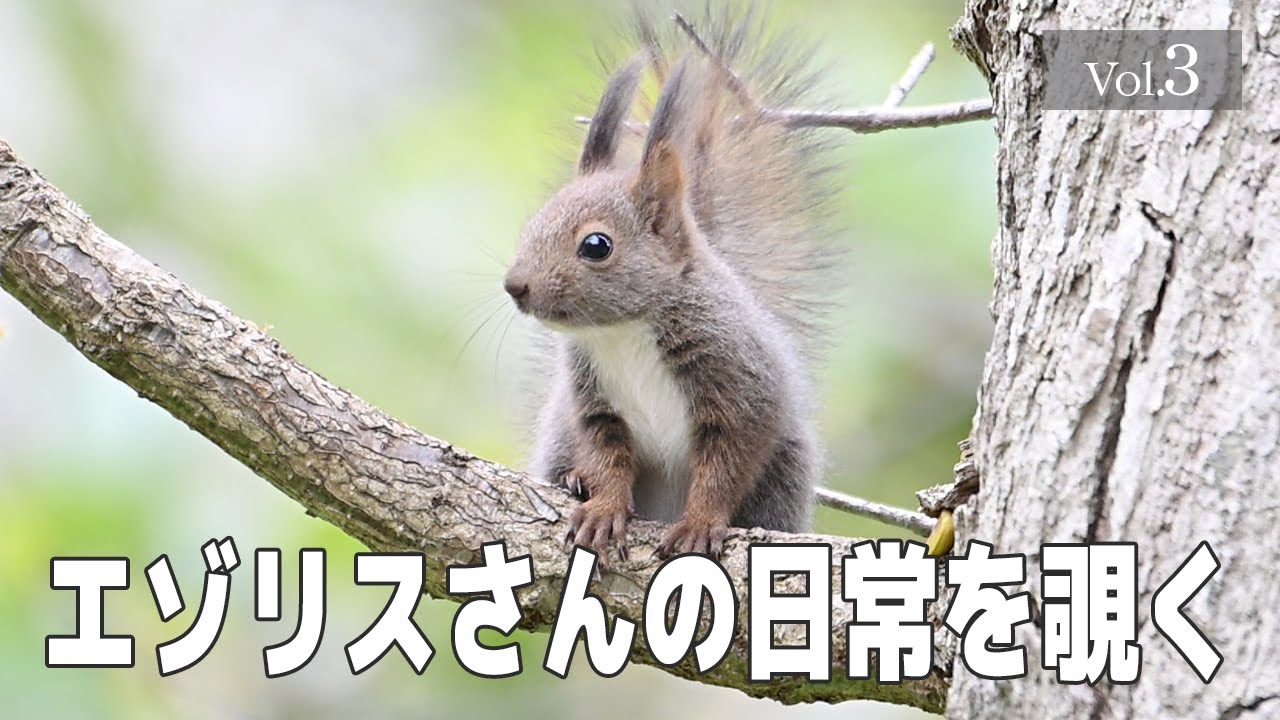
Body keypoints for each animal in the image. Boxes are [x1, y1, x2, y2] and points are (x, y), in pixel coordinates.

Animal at [502, 10, 841, 560]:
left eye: (596, 245)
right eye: (534, 223)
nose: (515, 286)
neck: (622, 331)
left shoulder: (739, 386)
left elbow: (724, 468)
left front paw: (701, 523)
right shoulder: (594, 404)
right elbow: (607, 459)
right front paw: (602, 507)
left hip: (787, 471)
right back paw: (574, 480)